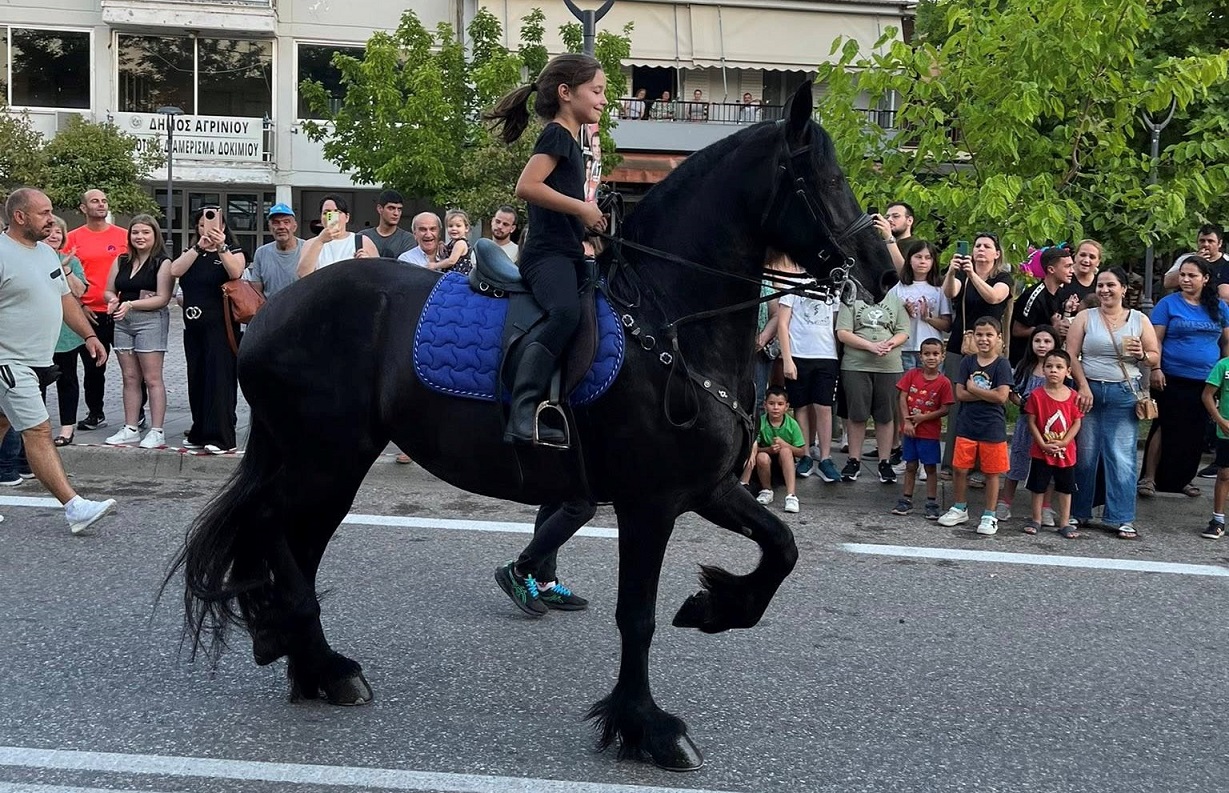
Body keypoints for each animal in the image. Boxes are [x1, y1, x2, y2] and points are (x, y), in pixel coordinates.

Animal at [171, 80, 893, 772]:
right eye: (822, 177)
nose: (883, 270)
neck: (669, 320)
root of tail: (271, 309)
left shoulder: (707, 487)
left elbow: (781, 547)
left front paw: (715, 608)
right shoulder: (651, 501)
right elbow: (637, 616)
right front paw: (645, 727)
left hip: (330, 462)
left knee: (295, 540)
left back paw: (311, 662)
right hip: (324, 458)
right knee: (271, 526)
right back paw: (310, 655)